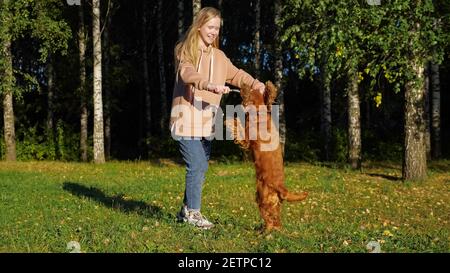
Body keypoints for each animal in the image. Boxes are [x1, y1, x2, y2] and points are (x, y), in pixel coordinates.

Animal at [227, 81, 308, 232]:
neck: (260, 112)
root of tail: (282, 189)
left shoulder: (247, 140)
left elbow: (238, 128)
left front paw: (230, 120)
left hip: (262, 197)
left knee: (269, 219)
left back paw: (264, 232)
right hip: (271, 202)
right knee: (277, 220)